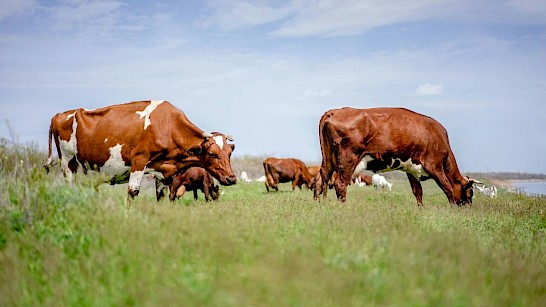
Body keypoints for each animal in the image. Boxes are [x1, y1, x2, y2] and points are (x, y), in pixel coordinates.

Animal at [45, 100, 236, 201]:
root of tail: (59, 115)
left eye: (229, 154)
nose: (232, 178)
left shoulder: (163, 171)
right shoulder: (139, 160)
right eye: (212, 154)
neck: (168, 126)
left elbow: (161, 195)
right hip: (67, 162)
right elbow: (133, 193)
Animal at [312, 107, 478, 206]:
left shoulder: (411, 169)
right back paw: (343, 207)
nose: (468, 210)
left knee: (321, 180)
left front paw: (421, 210)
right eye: (470, 193)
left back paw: (319, 203)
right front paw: (453, 209)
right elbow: (447, 188)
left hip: (328, 159)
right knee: (340, 184)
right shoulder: (435, 166)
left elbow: (418, 192)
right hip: (348, 159)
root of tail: (336, 111)